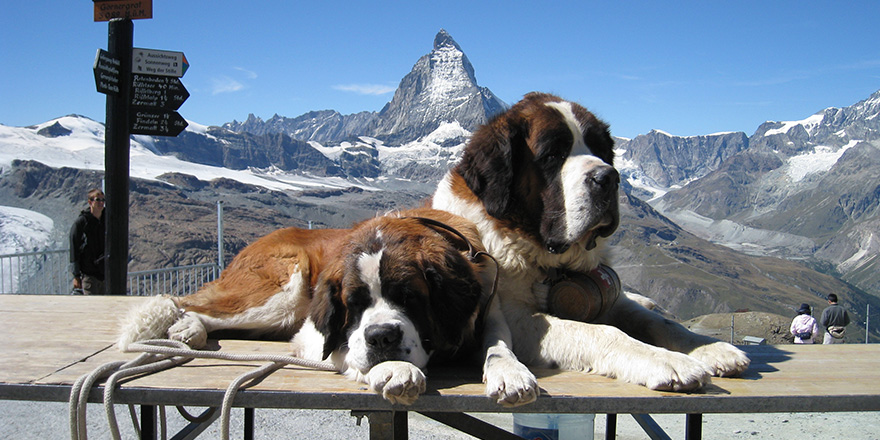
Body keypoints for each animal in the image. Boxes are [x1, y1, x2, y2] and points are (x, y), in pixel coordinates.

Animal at [117, 208, 532, 404]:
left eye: (410, 298)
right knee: (187, 302)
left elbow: (498, 343)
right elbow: (349, 348)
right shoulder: (315, 336)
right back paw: (187, 326)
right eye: (354, 304)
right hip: (285, 289)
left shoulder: (488, 305)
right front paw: (393, 369)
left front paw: (509, 372)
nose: (382, 337)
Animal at [430, 93, 752, 406]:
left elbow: (660, 322)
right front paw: (669, 361)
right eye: (553, 155)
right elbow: (604, 331)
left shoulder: (612, 299)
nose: (609, 177)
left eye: (600, 150)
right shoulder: (516, 317)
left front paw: (710, 348)